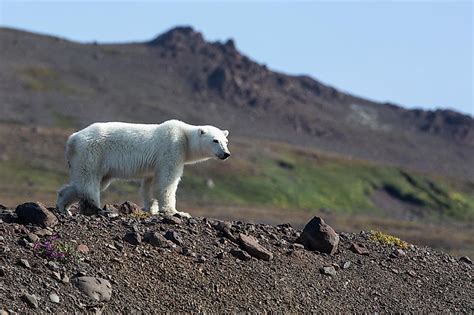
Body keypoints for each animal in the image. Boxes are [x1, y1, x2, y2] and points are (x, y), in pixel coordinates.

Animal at [55, 119, 231, 218]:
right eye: (215, 140)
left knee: (84, 183)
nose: (226, 154)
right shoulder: (172, 148)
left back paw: (63, 207)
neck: (185, 137)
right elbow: (167, 182)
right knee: (89, 181)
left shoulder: (154, 165)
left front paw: (151, 207)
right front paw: (177, 212)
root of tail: (72, 139)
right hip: (92, 152)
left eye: (226, 141)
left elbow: (149, 183)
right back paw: (97, 208)